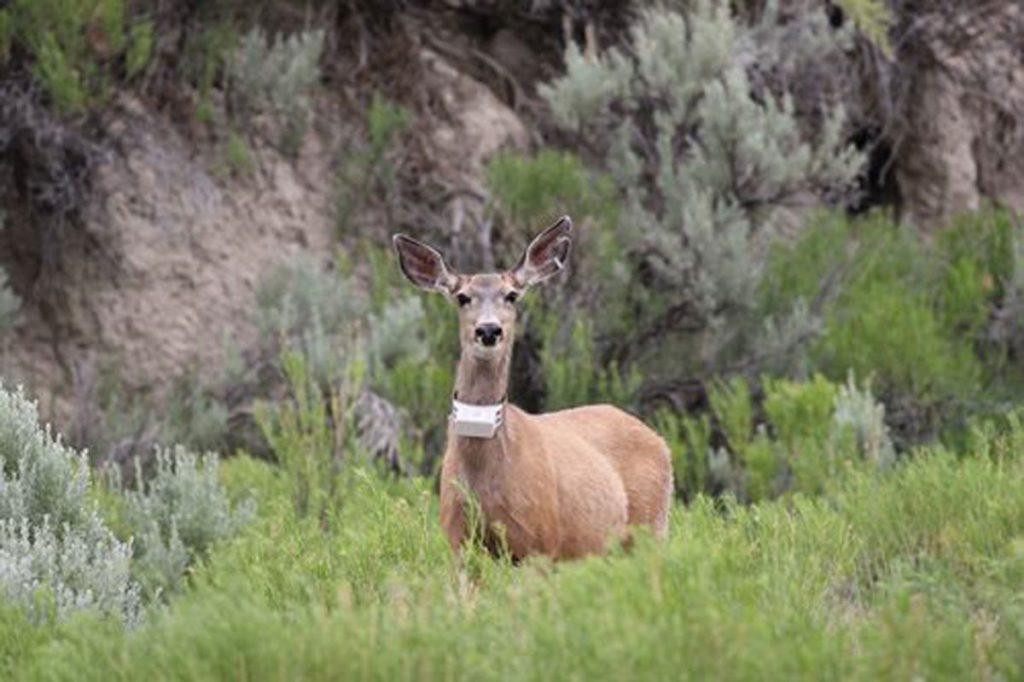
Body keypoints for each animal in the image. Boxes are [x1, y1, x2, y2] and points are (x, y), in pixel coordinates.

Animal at [393, 216, 673, 561]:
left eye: (512, 295)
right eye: (462, 297)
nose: (489, 330)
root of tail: (660, 440)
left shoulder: (539, 539)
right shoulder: (459, 540)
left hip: (652, 524)